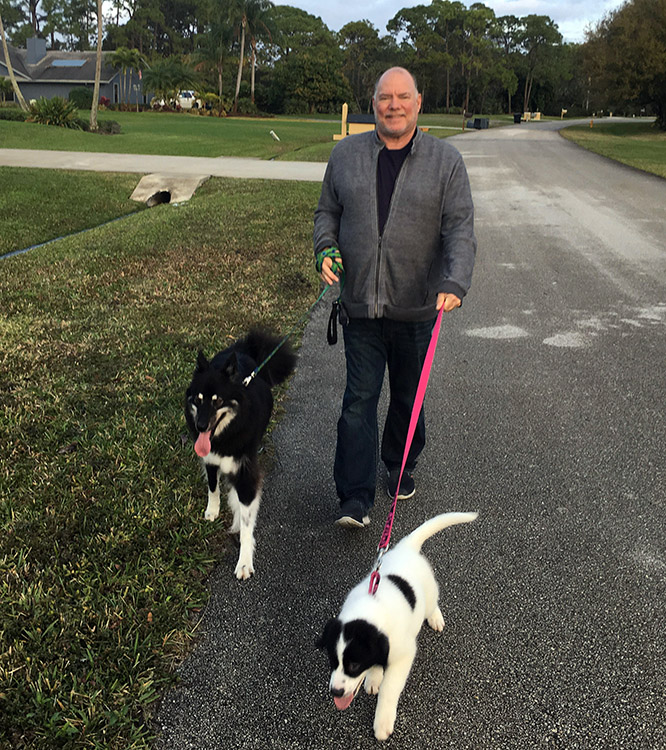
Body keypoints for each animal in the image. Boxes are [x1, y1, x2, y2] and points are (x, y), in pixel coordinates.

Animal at [183, 328, 294, 580]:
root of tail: (243, 350)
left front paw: (244, 561)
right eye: (198, 399)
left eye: (218, 401)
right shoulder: (211, 460)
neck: (227, 434)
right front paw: (212, 510)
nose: (201, 426)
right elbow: (213, 487)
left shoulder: (245, 473)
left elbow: (245, 520)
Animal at [318, 516, 478, 744]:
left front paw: (383, 723)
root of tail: (407, 548)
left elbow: (389, 689)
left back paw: (435, 617)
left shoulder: (403, 655)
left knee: (432, 603)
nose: (336, 692)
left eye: (354, 665)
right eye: (332, 660)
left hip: (429, 593)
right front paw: (374, 677)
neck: (370, 608)